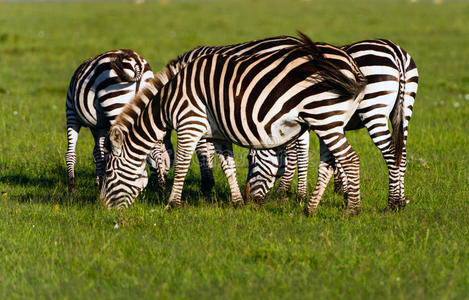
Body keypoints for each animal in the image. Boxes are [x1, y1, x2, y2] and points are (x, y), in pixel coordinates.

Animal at [65, 47, 154, 192]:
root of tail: (136, 61)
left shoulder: (71, 114)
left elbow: (72, 153)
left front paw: (72, 188)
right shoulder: (100, 126)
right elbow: (100, 154)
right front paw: (99, 182)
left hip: (115, 104)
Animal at [99, 33, 366, 216]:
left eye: (109, 173)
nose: (101, 209)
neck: (168, 100)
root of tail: (350, 63)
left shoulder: (189, 124)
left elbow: (184, 164)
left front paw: (172, 204)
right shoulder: (219, 134)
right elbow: (228, 166)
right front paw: (237, 202)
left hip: (324, 116)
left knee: (350, 159)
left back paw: (352, 210)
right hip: (329, 120)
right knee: (329, 163)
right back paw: (310, 209)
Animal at [245, 39, 416, 213]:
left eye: (250, 159)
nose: (248, 200)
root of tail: (395, 52)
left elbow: (298, 154)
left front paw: (290, 193)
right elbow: (335, 158)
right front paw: (344, 191)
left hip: (373, 109)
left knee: (391, 152)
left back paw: (391, 204)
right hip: (404, 111)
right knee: (401, 154)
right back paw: (401, 201)